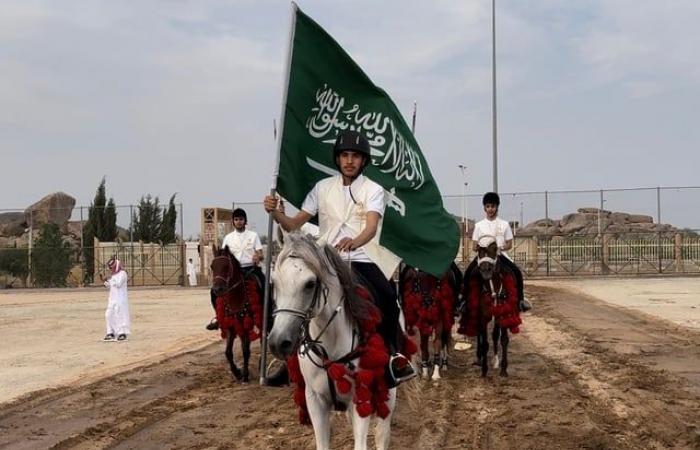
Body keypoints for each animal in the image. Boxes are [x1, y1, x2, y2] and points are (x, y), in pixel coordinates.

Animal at [209, 244, 264, 382]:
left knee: (262, 340)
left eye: (226, 266)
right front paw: (237, 372)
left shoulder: (247, 323)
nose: (217, 289)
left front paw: (245, 374)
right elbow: (228, 352)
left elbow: (245, 350)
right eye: (212, 266)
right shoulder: (231, 325)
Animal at [268, 234, 396, 450]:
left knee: (382, 434)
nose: (278, 342)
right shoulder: (316, 400)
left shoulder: (360, 399)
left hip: (389, 392)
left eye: (310, 283)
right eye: (274, 282)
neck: (331, 347)